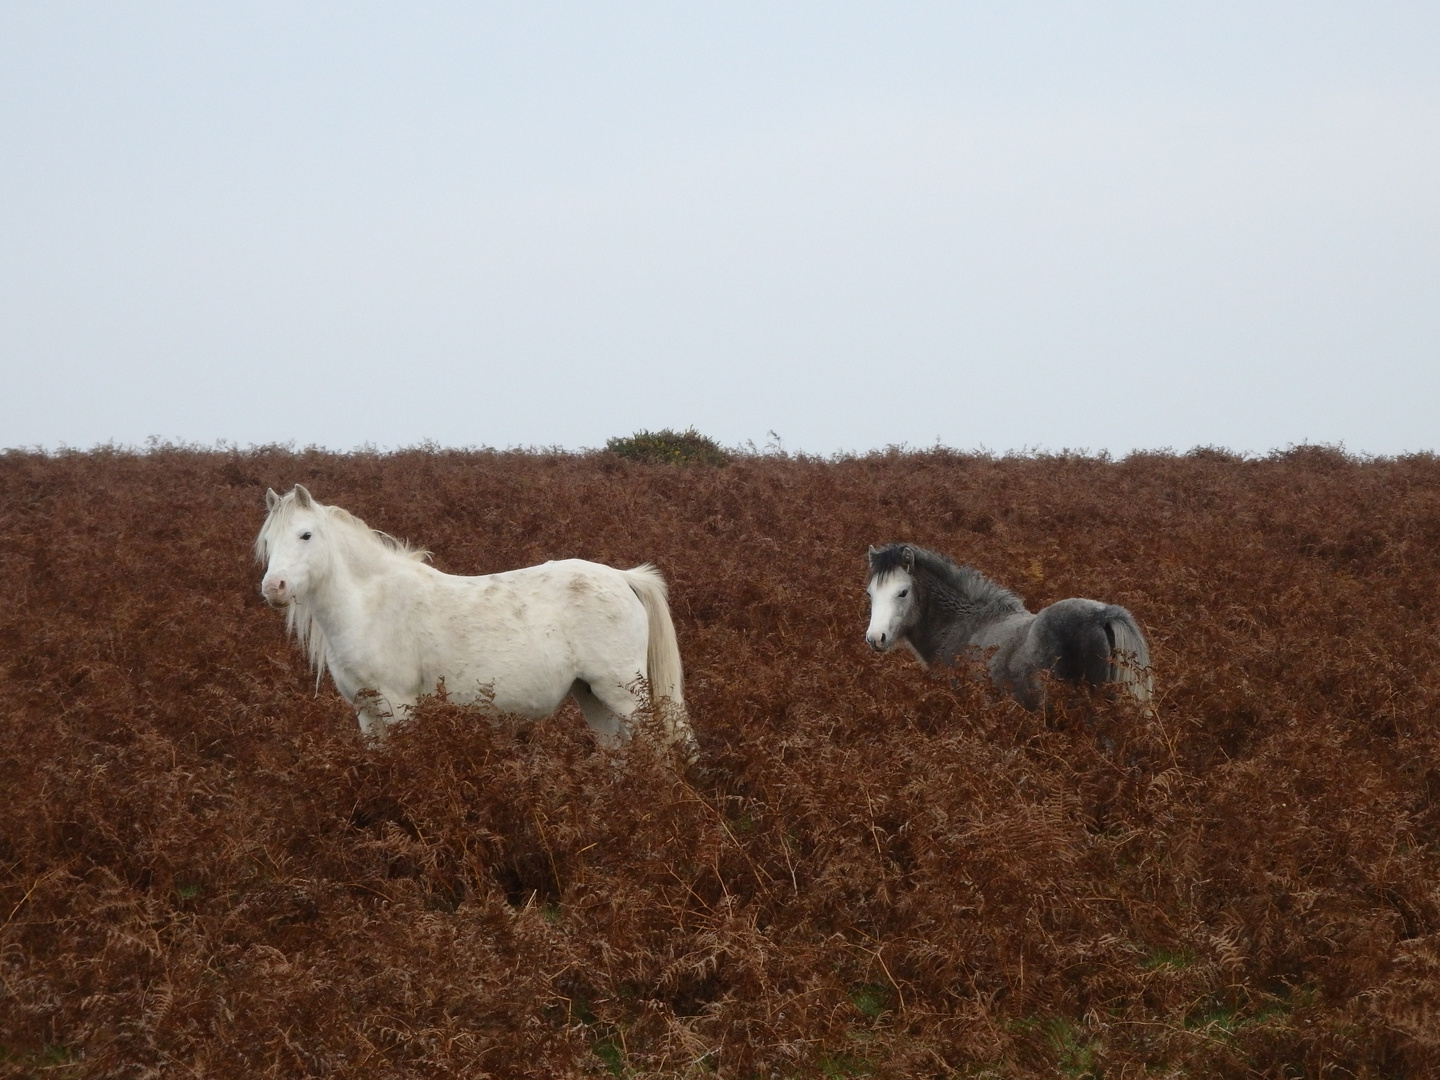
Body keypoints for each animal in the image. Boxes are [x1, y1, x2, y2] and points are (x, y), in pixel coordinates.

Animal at [257, 486, 696, 754]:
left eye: (306, 535)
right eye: (268, 541)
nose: (274, 587)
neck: (370, 605)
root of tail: (623, 577)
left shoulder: (399, 708)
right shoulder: (367, 714)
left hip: (623, 694)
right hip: (592, 695)